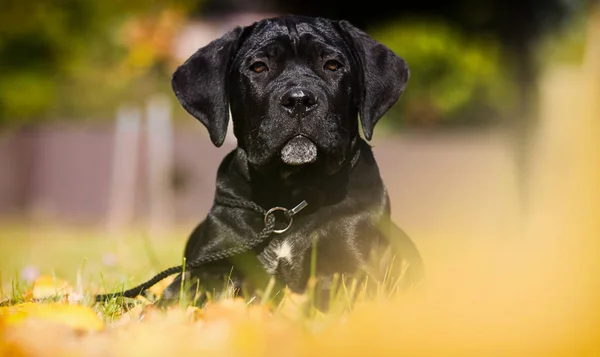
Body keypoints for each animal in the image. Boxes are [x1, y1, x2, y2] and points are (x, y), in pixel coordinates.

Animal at [159, 14, 422, 304]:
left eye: (332, 65)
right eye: (258, 67)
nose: (299, 100)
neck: (288, 199)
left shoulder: (353, 268)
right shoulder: (216, 257)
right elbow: (190, 287)